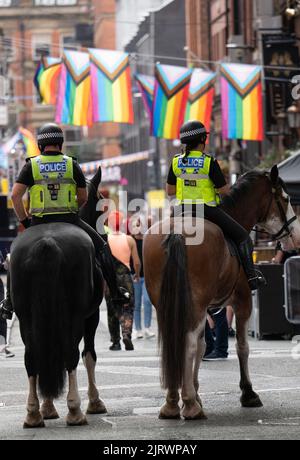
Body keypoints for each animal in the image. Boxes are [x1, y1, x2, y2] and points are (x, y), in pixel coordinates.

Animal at [10, 168, 106, 428]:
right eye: (101, 204)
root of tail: (48, 243)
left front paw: (48, 407)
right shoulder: (92, 316)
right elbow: (89, 355)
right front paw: (95, 402)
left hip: (26, 317)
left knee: (32, 356)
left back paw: (33, 414)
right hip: (75, 316)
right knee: (71, 354)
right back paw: (75, 411)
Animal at [143, 166, 300, 420]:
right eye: (285, 199)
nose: (295, 235)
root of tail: (177, 233)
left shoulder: (206, 308)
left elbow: (203, 345)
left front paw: (196, 392)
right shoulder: (242, 302)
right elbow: (242, 347)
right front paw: (248, 393)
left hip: (166, 305)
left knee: (175, 343)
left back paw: (172, 403)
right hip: (195, 304)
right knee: (187, 343)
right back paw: (189, 405)